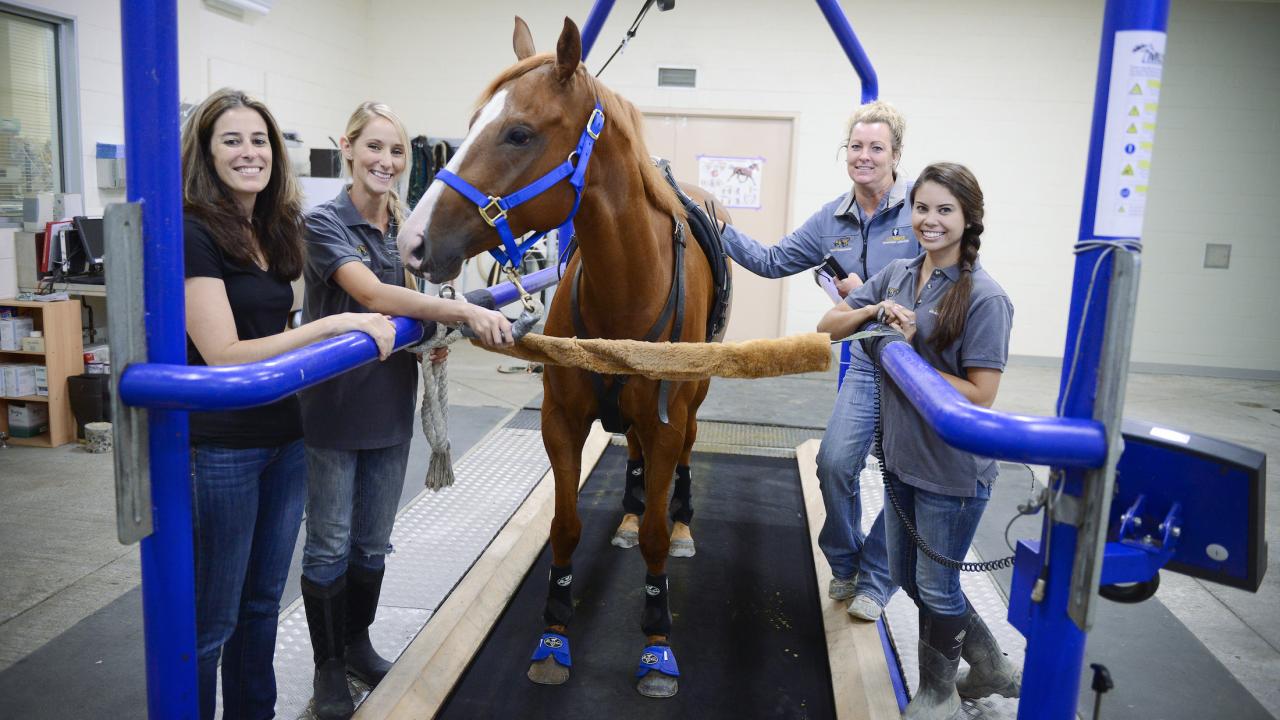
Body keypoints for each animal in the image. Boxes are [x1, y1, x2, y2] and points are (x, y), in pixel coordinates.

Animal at [394, 15, 727, 696]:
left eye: (519, 132)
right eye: (471, 124)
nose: (412, 241)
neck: (626, 287)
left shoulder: (665, 420)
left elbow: (656, 533)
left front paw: (657, 639)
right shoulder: (562, 422)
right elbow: (565, 526)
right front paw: (554, 631)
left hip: (692, 403)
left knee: (681, 457)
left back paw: (680, 522)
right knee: (632, 458)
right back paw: (625, 515)